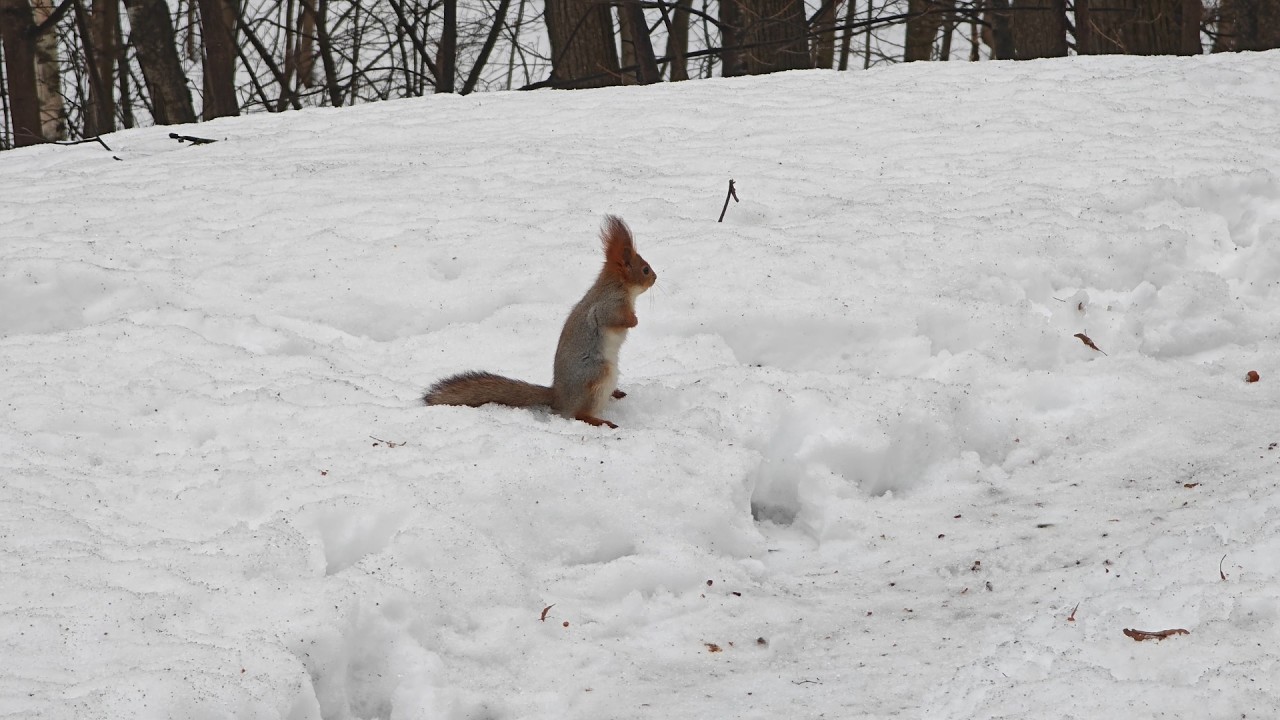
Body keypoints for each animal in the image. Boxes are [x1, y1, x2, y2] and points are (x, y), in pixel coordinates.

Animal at [423, 215, 657, 429]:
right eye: (645, 269)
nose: (655, 278)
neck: (619, 285)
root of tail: (558, 396)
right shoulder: (608, 306)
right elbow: (615, 319)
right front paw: (634, 320)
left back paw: (616, 394)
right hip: (597, 376)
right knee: (578, 414)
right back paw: (602, 421)